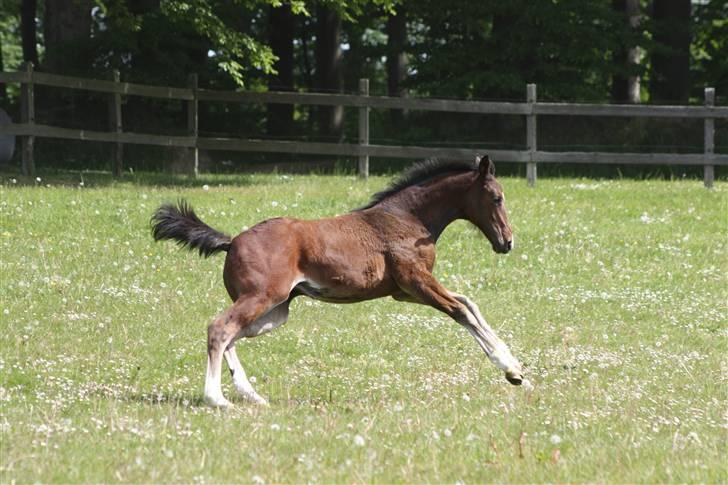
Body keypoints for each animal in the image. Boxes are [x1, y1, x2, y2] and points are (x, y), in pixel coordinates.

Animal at [154, 154, 528, 404]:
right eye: (497, 197)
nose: (507, 242)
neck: (408, 218)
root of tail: (232, 241)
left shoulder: (405, 291)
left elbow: (469, 303)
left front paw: (517, 367)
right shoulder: (416, 282)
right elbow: (461, 311)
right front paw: (510, 370)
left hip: (275, 311)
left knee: (232, 334)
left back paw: (252, 395)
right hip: (261, 298)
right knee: (219, 328)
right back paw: (217, 399)